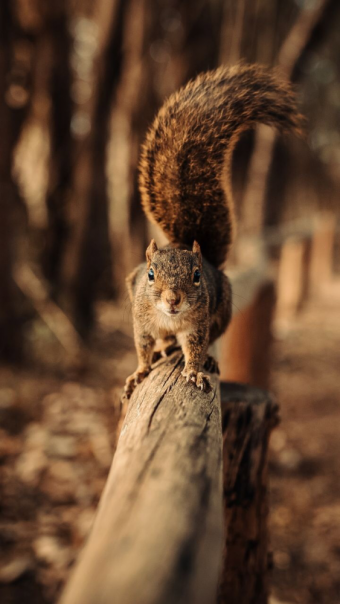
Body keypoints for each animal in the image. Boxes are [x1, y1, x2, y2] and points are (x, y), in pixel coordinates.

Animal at [122, 63, 302, 398]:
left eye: (196, 276)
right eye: (150, 275)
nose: (173, 299)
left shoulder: (198, 326)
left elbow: (195, 348)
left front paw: (194, 370)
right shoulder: (142, 323)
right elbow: (142, 348)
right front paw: (139, 372)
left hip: (223, 308)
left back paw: (206, 360)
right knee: (162, 343)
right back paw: (164, 348)